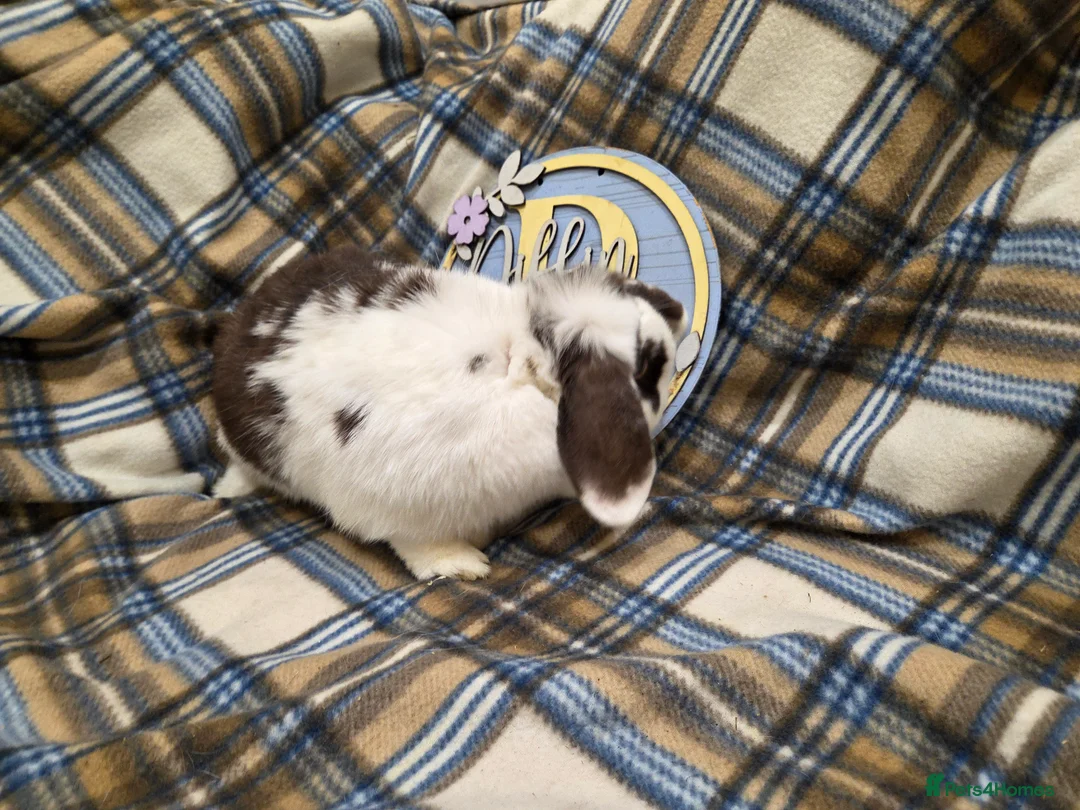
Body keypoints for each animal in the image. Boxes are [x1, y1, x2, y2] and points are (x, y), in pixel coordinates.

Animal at [211, 245, 687, 580]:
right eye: (646, 365)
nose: (680, 314)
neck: (516, 367)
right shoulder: (390, 506)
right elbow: (418, 548)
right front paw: (464, 564)